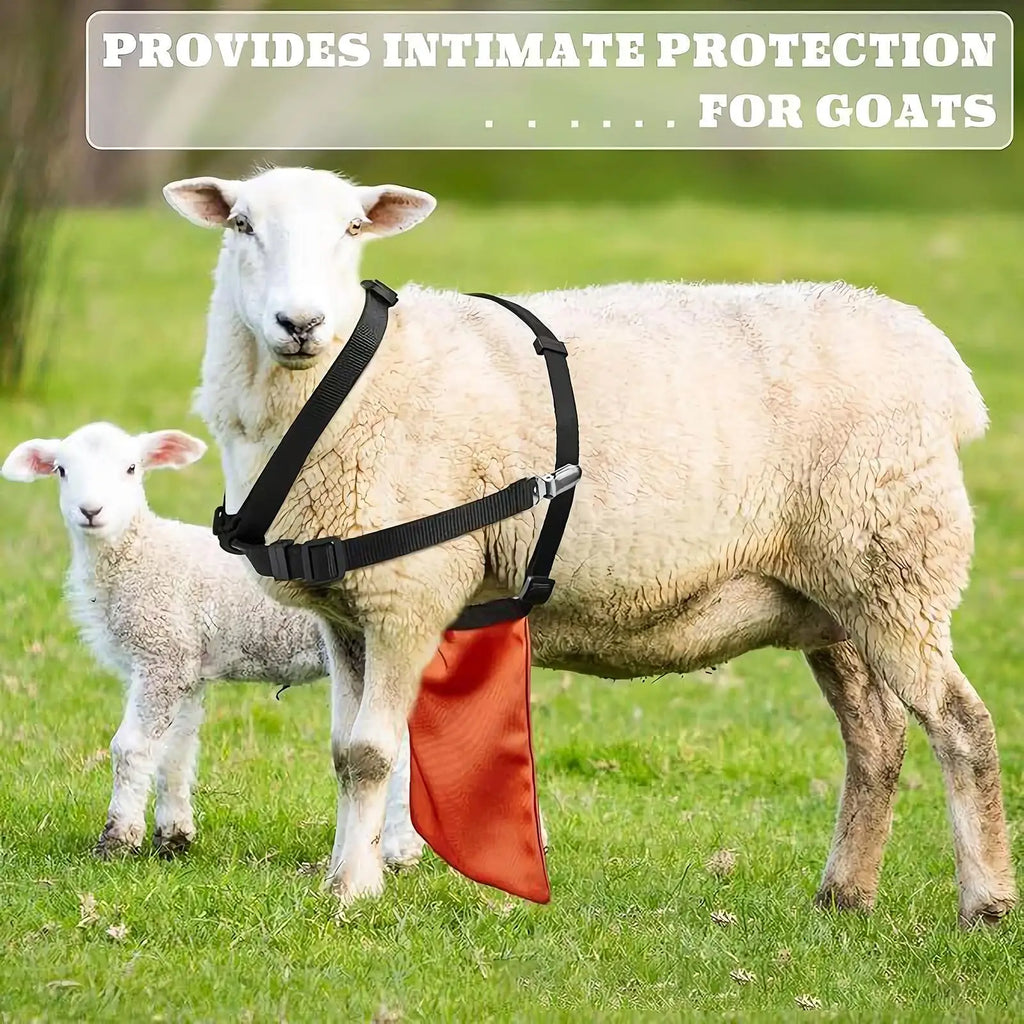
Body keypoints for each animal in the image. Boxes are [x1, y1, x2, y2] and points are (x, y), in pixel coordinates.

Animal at [2, 421, 422, 866]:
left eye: (131, 468)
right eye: (61, 470)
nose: (91, 511)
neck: (138, 554)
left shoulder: (162, 652)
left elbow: (130, 748)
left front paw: (117, 841)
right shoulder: (186, 665)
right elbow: (176, 751)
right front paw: (173, 838)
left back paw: (399, 849)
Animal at [162, 166, 1013, 926]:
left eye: (351, 230)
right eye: (241, 225)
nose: (300, 324)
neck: (360, 378)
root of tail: (941, 366)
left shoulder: (410, 595)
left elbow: (372, 753)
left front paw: (349, 893)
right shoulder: (345, 614)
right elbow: (344, 753)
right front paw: (350, 873)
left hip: (895, 563)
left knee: (960, 725)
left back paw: (985, 902)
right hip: (833, 595)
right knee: (876, 738)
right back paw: (845, 894)